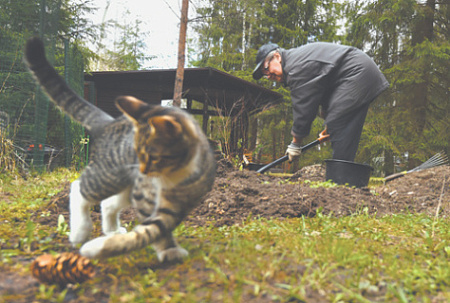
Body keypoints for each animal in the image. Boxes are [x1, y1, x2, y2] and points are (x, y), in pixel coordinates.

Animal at [24, 36, 216, 262]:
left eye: (153, 156)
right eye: (139, 153)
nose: (143, 171)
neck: (175, 175)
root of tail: (109, 122)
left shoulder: (178, 203)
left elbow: (159, 226)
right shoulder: (146, 197)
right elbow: (153, 229)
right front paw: (167, 249)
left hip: (126, 184)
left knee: (107, 203)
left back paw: (112, 231)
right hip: (109, 176)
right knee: (78, 187)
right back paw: (80, 230)